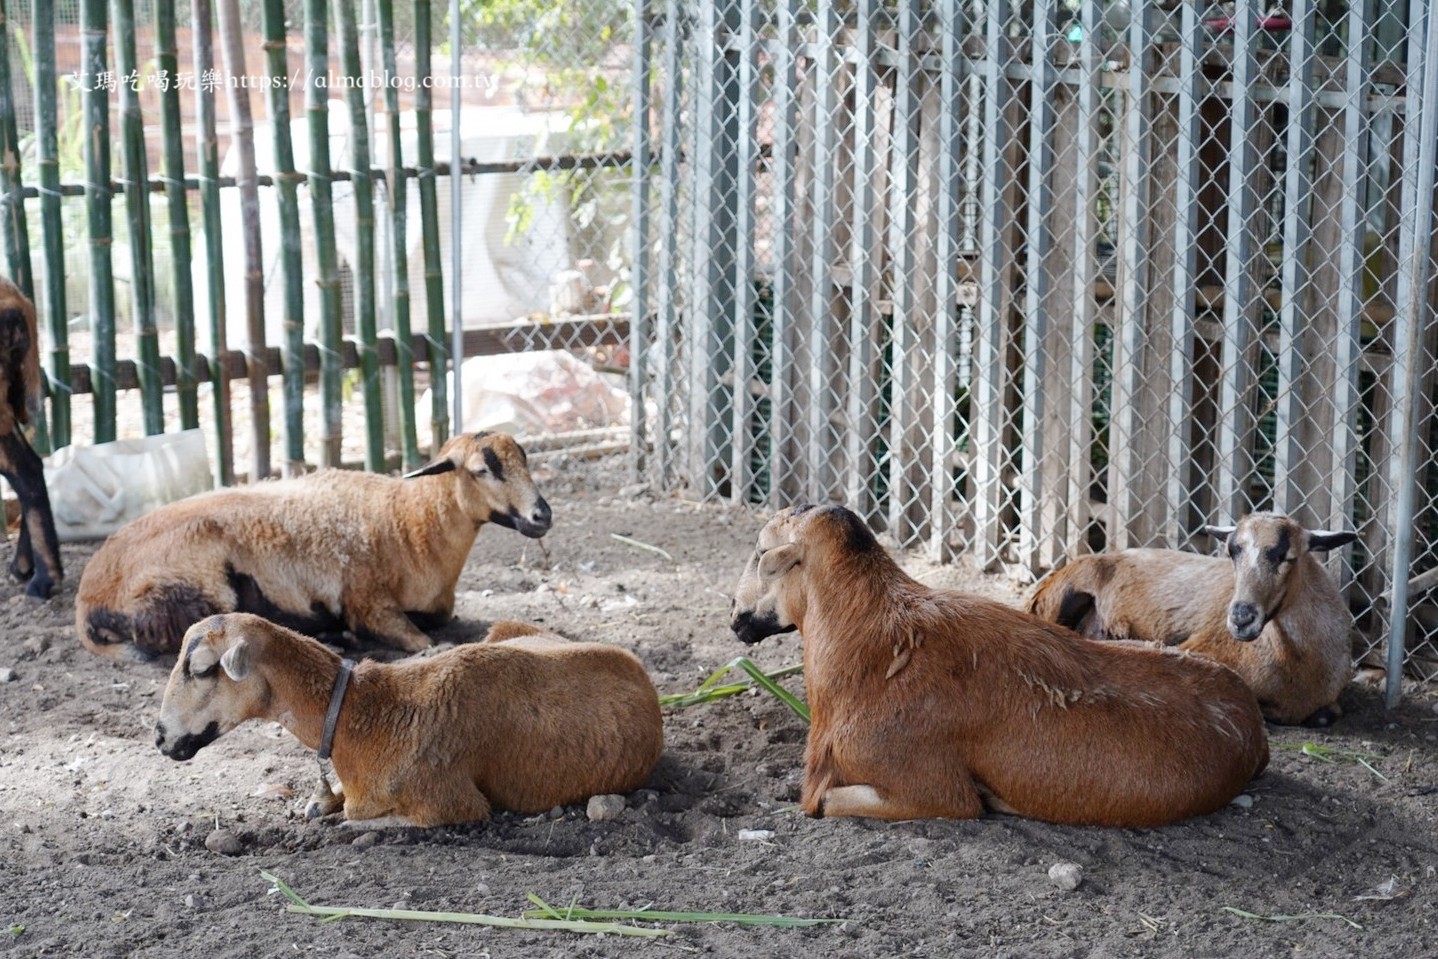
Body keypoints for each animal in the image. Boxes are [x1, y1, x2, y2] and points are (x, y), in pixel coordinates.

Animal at [75, 434, 552, 664]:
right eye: (481, 470)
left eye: (525, 460)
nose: (542, 515)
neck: (407, 521)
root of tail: (87, 597)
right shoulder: (368, 601)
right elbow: (425, 643)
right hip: (194, 587)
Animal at [156, 618, 661, 828]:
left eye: (202, 668)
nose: (160, 738)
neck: (364, 715)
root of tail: (638, 667)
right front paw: (319, 802)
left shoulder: (450, 803)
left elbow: (359, 819)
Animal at [730, 506, 1271, 828]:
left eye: (759, 553)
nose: (734, 614)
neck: (872, 641)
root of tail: (1255, 726)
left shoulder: (934, 792)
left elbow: (822, 802)